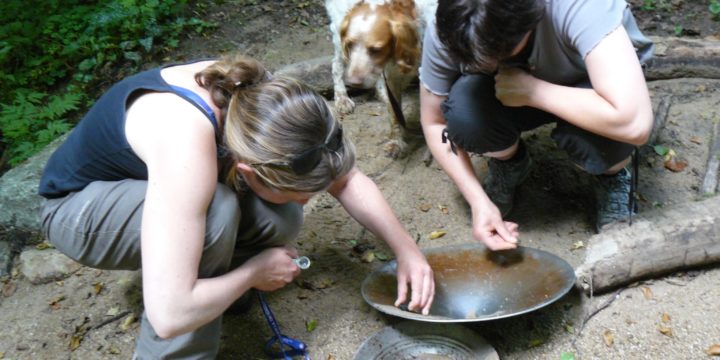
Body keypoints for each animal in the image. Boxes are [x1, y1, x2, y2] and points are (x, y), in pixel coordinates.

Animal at [328, 0, 438, 158]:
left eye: (376, 50)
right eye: (350, 44)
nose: (353, 82)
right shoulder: (390, 76)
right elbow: (394, 112)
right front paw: (396, 142)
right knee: (336, 64)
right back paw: (342, 98)